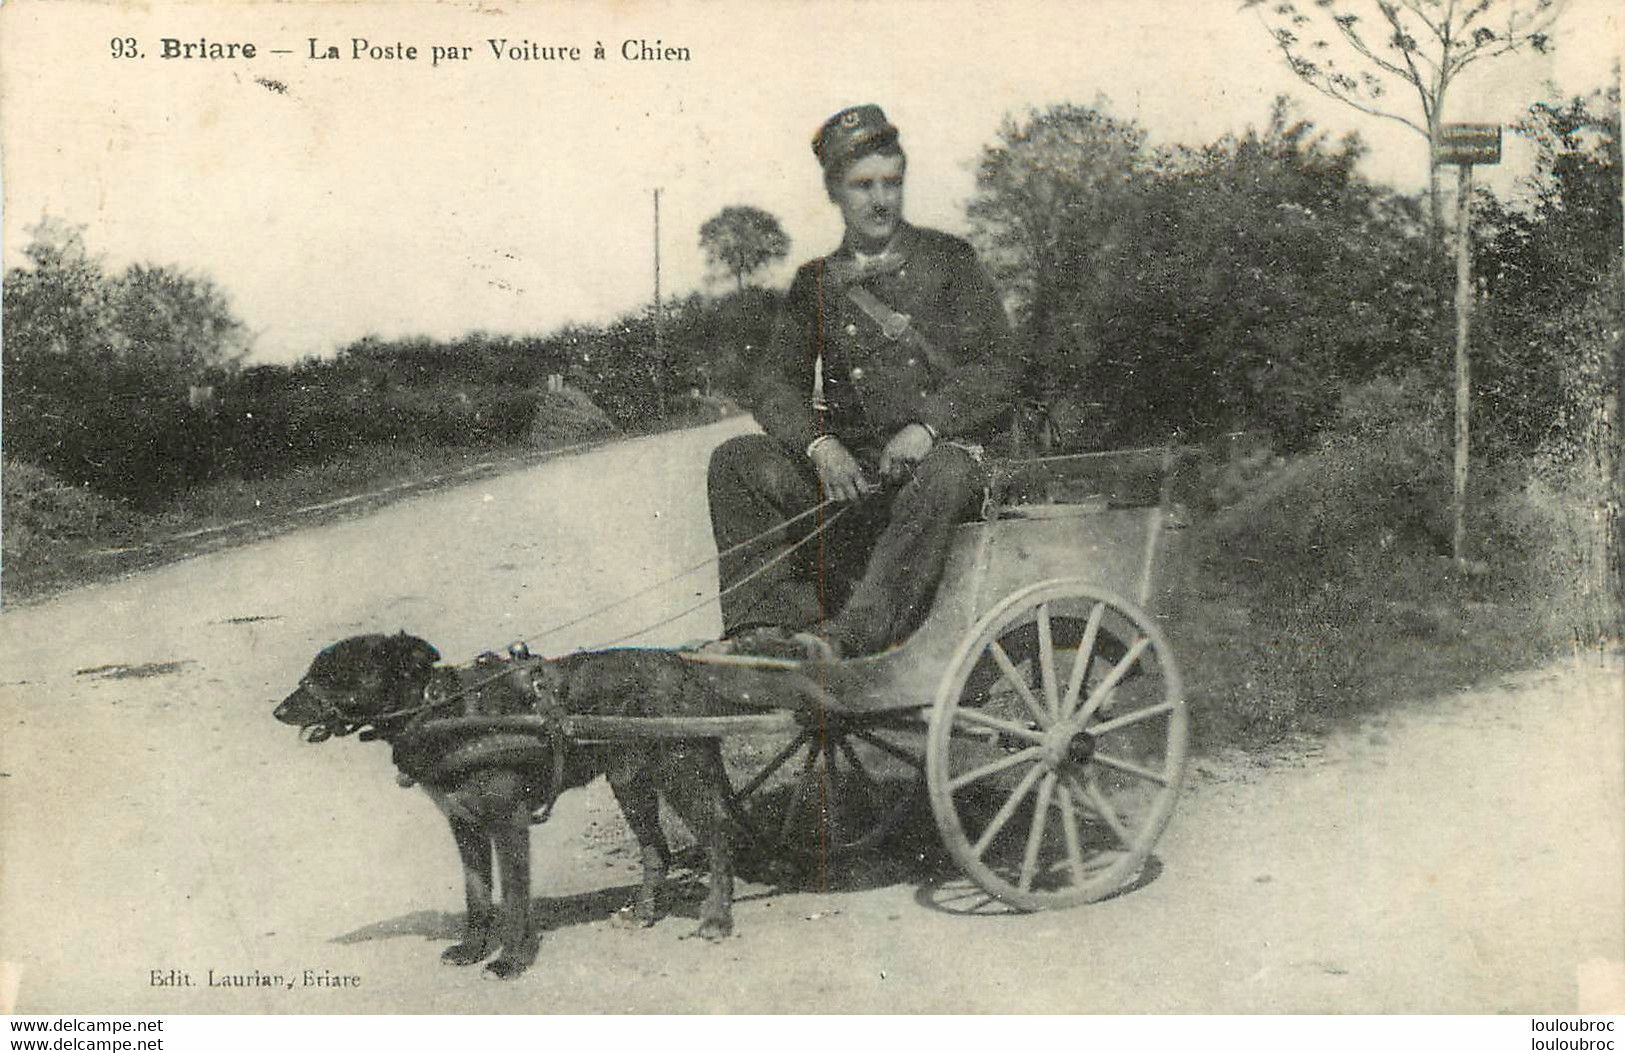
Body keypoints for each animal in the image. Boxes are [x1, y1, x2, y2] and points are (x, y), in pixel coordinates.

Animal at [276, 633, 757, 981]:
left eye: (335, 673)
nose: (279, 711)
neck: (442, 712)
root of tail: (686, 668)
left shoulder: (508, 825)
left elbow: (511, 900)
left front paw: (510, 961)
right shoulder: (465, 826)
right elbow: (476, 896)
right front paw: (471, 949)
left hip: (682, 770)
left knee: (718, 834)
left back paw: (717, 918)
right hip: (630, 781)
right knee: (656, 849)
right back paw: (643, 913)